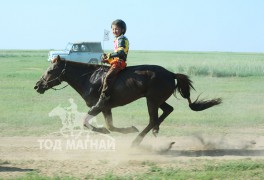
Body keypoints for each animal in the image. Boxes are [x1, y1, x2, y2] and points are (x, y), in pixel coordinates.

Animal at [34, 55, 221, 146]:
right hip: (157, 100)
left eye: (50, 71)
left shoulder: (99, 106)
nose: (37, 86)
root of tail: (171, 74)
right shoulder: (106, 108)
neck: (89, 78)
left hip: (151, 101)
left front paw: (111, 131)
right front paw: (124, 129)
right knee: (167, 110)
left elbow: (88, 122)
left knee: (152, 119)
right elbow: (109, 125)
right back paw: (155, 131)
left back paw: (137, 140)